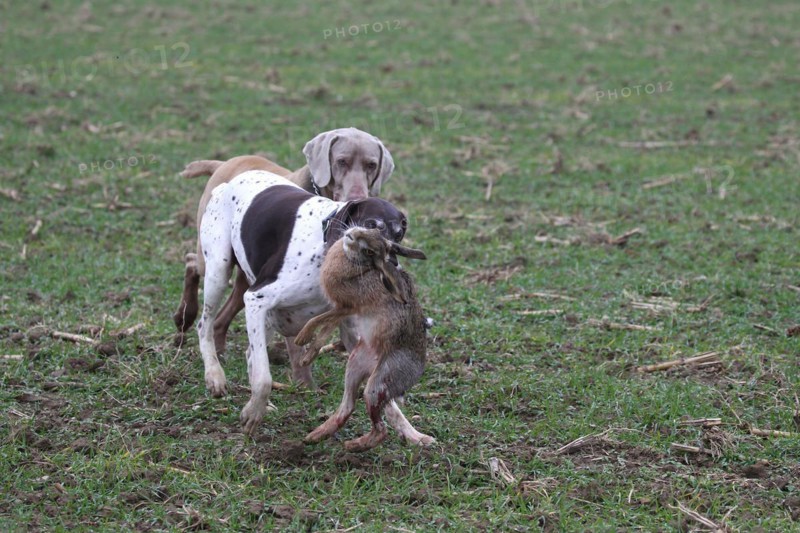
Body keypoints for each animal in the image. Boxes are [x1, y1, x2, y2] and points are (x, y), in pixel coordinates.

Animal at [294, 226, 433, 451]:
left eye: (369, 252)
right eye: (374, 229)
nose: (353, 234)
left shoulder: (346, 306)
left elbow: (318, 320)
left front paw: (301, 338)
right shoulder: (342, 309)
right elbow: (325, 328)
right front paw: (306, 358)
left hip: (378, 384)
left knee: (380, 428)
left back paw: (354, 445)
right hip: (354, 364)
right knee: (348, 406)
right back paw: (315, 435)